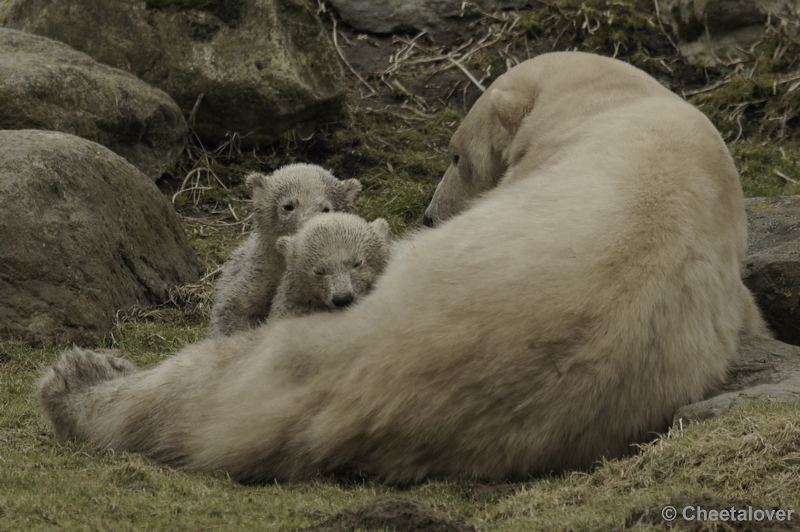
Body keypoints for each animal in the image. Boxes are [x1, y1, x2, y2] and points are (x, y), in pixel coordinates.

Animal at [36, 53, 764, 482]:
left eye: (455, 156)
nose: (433, 217)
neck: (624, 113)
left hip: (335, 330)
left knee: (207, 388)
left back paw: (80, 381)